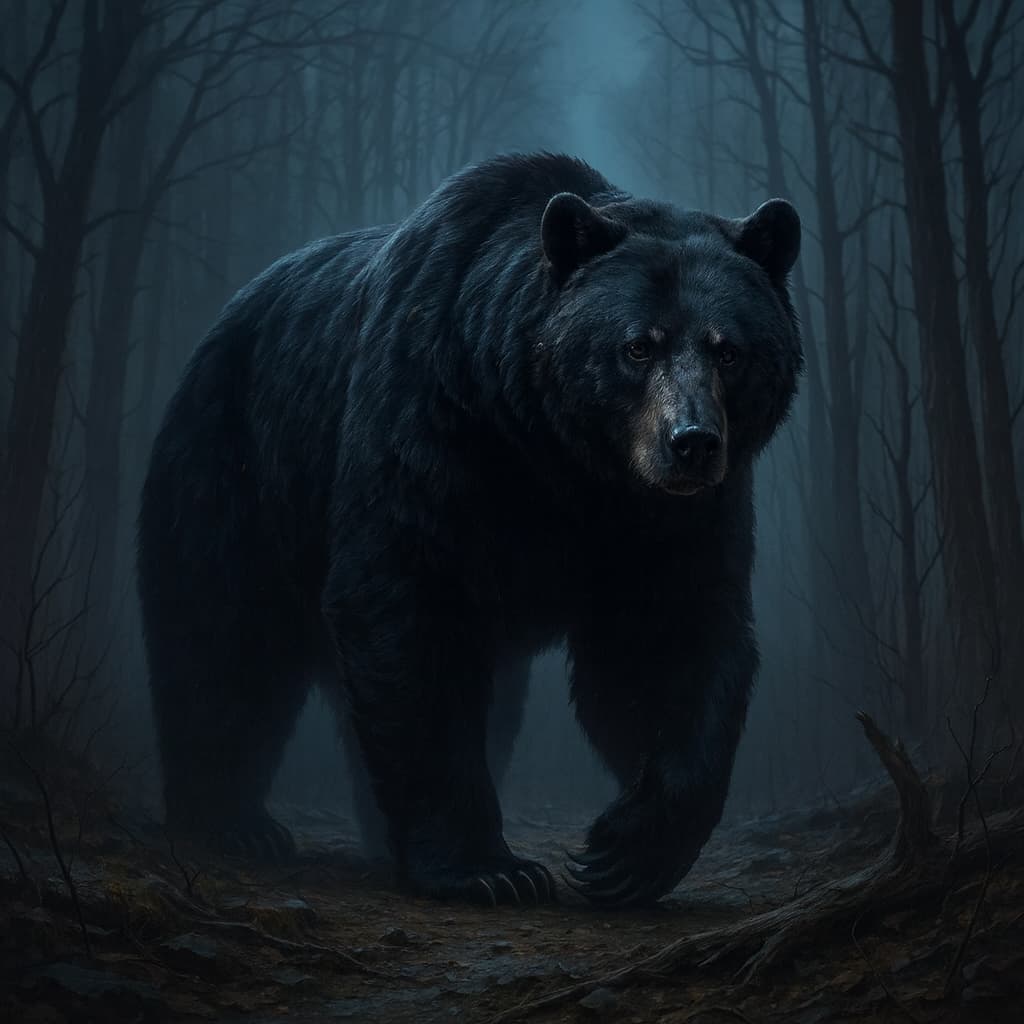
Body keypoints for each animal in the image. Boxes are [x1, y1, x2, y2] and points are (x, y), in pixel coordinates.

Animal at [137, 152, 802, 908]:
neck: (557, 456)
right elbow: (407, 614)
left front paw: (626, 851)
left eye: (729, 351)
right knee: (222, 638)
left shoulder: (664, 519)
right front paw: (490, 869)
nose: (691, 443)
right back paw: (232, 823)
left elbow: (669, 638)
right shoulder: (432, 428)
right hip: (238, 464)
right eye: (638, 346)